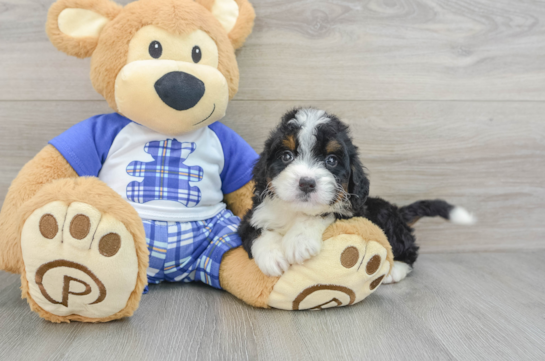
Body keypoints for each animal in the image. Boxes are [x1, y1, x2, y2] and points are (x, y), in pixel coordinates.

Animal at [239, 108, 476, 280]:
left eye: (331, 160)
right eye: (286, 156)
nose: (306, 183)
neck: (295, 211)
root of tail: (397, 212)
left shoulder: (353, 211)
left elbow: (325, 212)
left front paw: (299, 241)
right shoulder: (251, 215)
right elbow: (256, 231)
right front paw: (273, 257)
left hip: (386, 220)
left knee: (409, 249)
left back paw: (396, 269)